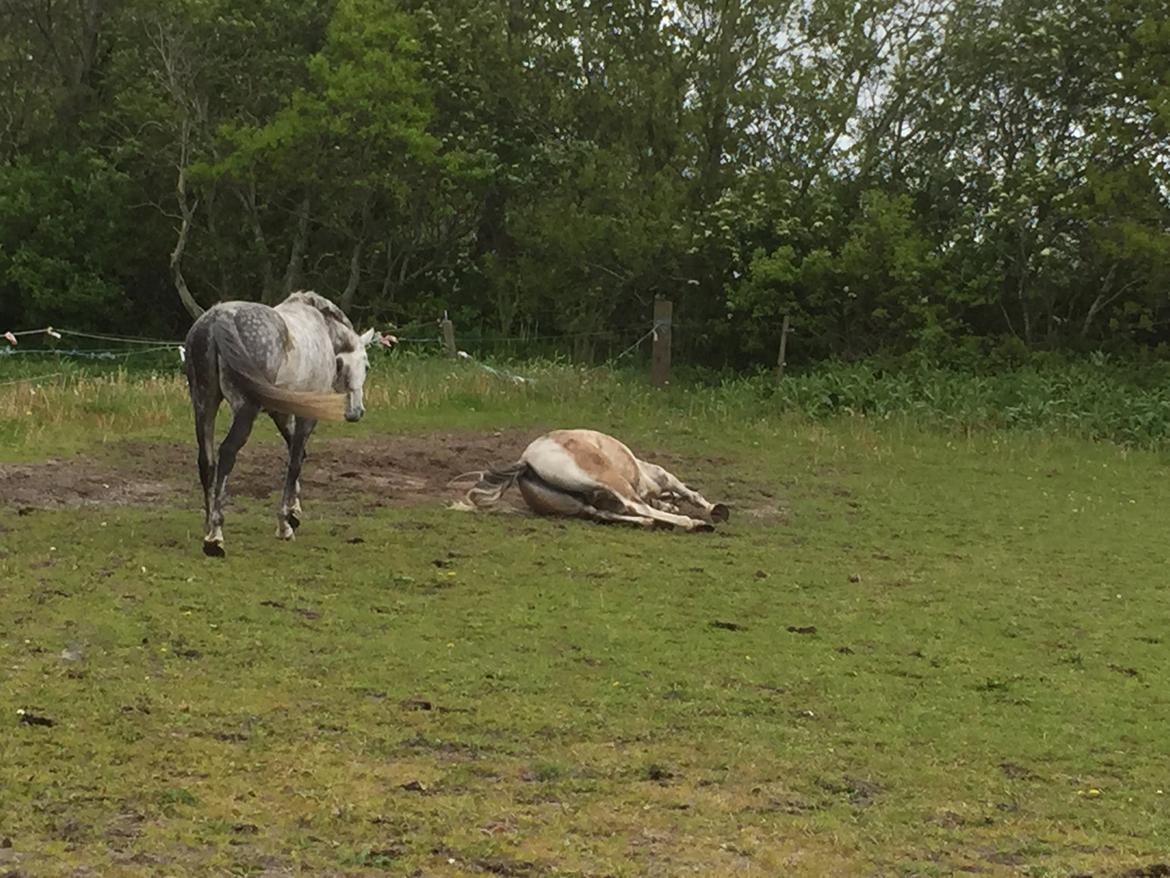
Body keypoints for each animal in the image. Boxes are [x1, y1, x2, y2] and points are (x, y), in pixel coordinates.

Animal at [184, 293, 374, 557]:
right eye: (365, 365)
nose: (357, 412)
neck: (322, 330)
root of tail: (218, 319)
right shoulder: (305, 415)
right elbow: (294, 462)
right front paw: (285, 524)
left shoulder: (281, 412)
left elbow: (298, 452)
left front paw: (294, 511)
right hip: (245, 409)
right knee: (227, 453)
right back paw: (215, 536)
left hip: (204, 403)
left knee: (206, 461)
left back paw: (208, 525)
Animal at [458, 430, 725, 533]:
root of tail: (527, 462)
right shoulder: (658, 477)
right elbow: (684, 490)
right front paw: (715, 510)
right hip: (606, 479)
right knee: (635, 505)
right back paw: (691, 523)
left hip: (576, 504)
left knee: (604, 513)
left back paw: (650, 522)